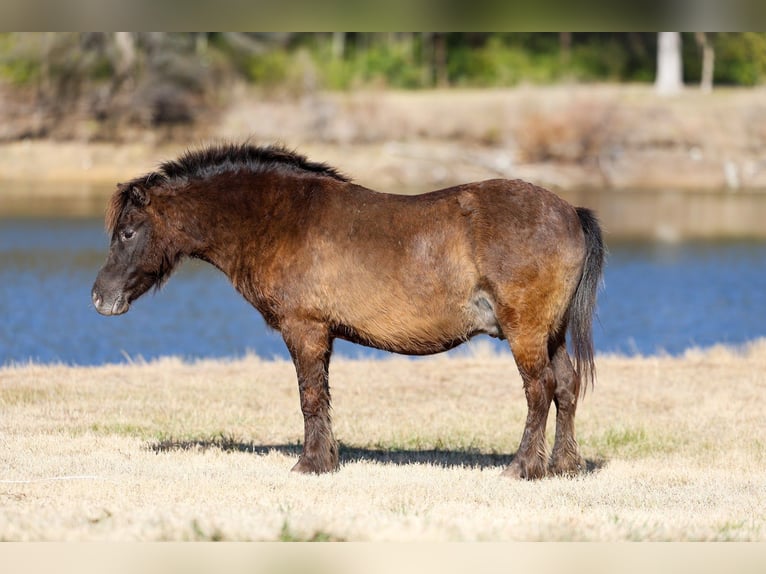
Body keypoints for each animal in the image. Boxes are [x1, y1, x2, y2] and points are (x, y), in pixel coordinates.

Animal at [91, 142, 604, 479]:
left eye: (128, 232)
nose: (100, 297)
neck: (280, 218)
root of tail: (569, 210)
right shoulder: (323, 334)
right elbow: (321, 396)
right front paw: (326, 458)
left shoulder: (305, 330)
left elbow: (310, 397)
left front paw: (310, 463)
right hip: (551, 333)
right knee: (566, 386)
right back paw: (564, 465)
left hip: (526, 332)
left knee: (539, 390)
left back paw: (523, 467)